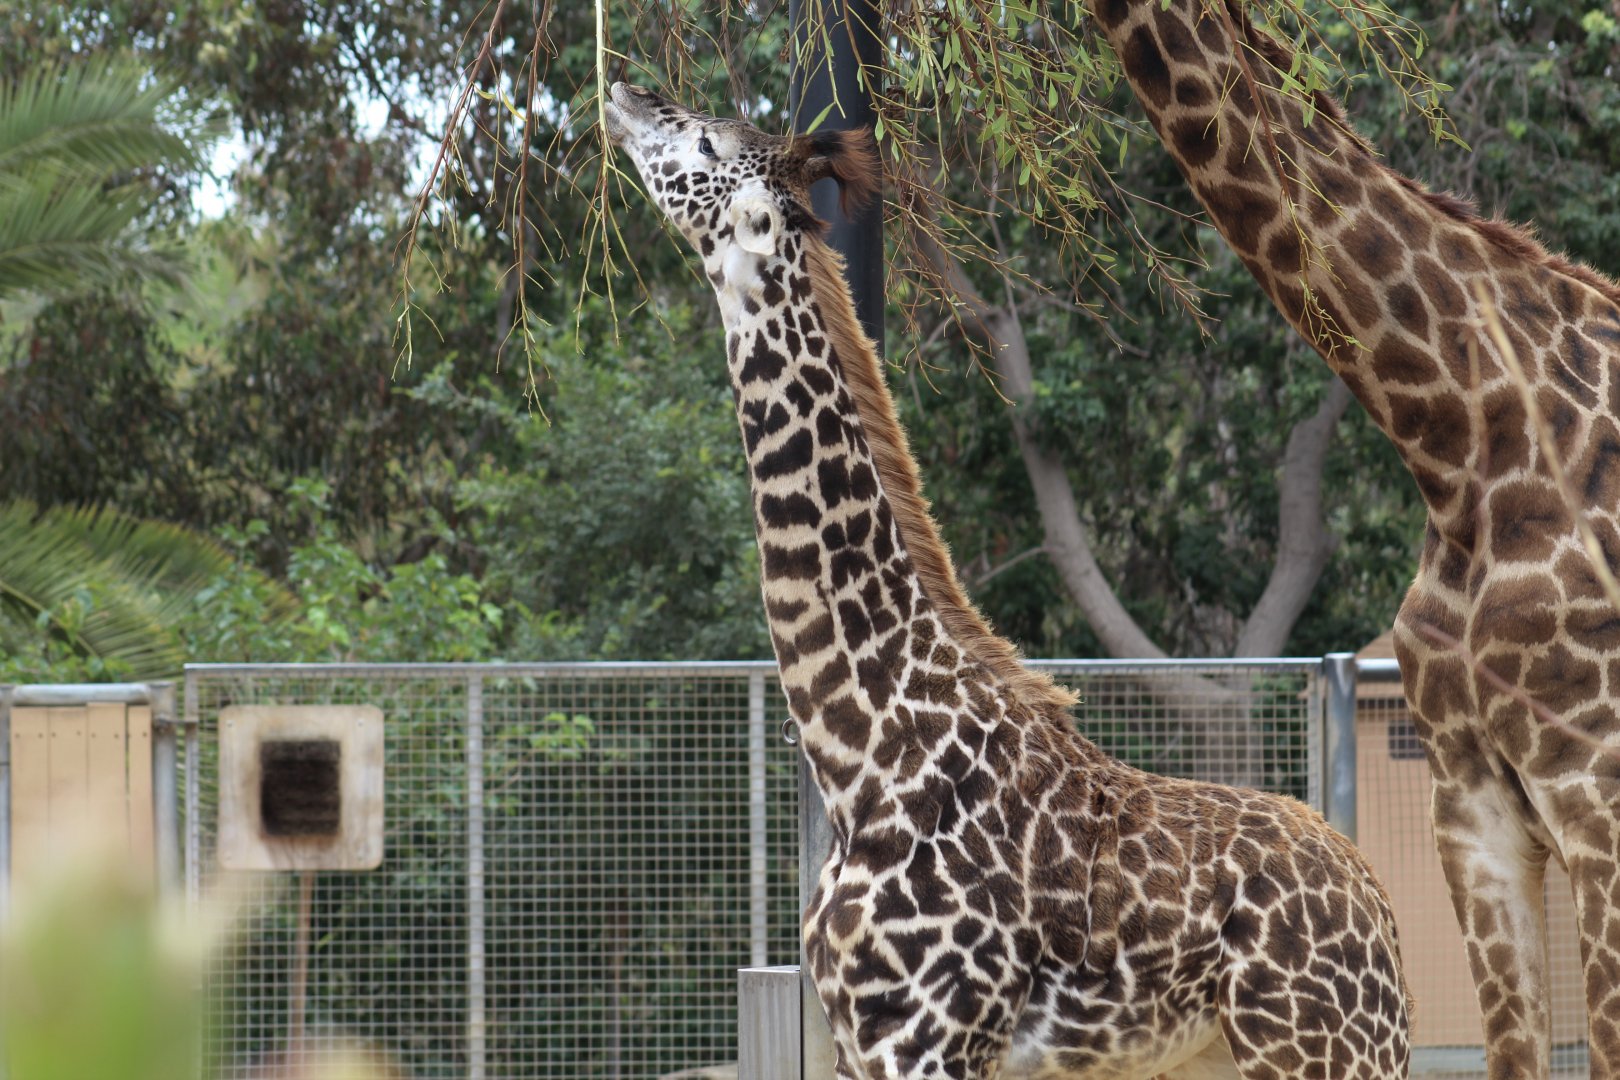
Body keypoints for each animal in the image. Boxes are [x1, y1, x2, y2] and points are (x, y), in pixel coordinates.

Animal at [604, 81, 1410, 1079]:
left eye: (708, 143)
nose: (627, 92)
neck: (861, 757)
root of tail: (1380, 910)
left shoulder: (930, 1040)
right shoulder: (862, 1044)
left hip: (1317, 1048)